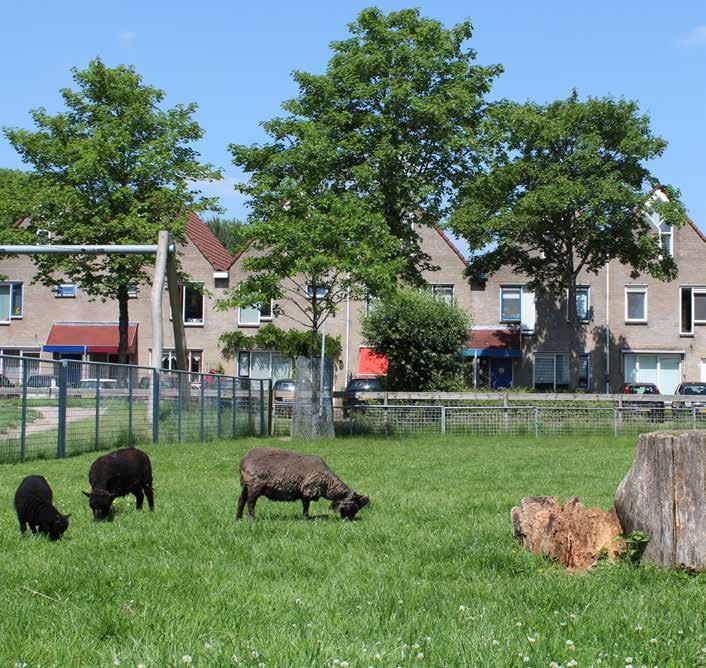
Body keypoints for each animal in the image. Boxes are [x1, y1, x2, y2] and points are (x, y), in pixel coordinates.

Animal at [236, 448, 368, 520]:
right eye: (355, 506)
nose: (349, 520)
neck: (328, 484)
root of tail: (243, 461)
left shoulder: (305, 492)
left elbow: (305, 506)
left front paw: (306, 517)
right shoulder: (308, 490)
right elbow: (306, 506)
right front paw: (307, 518)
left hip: (245, 486)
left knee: (241, 500)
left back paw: (238, 518)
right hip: (254, 485)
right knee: (250, 502)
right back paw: (253, 519)